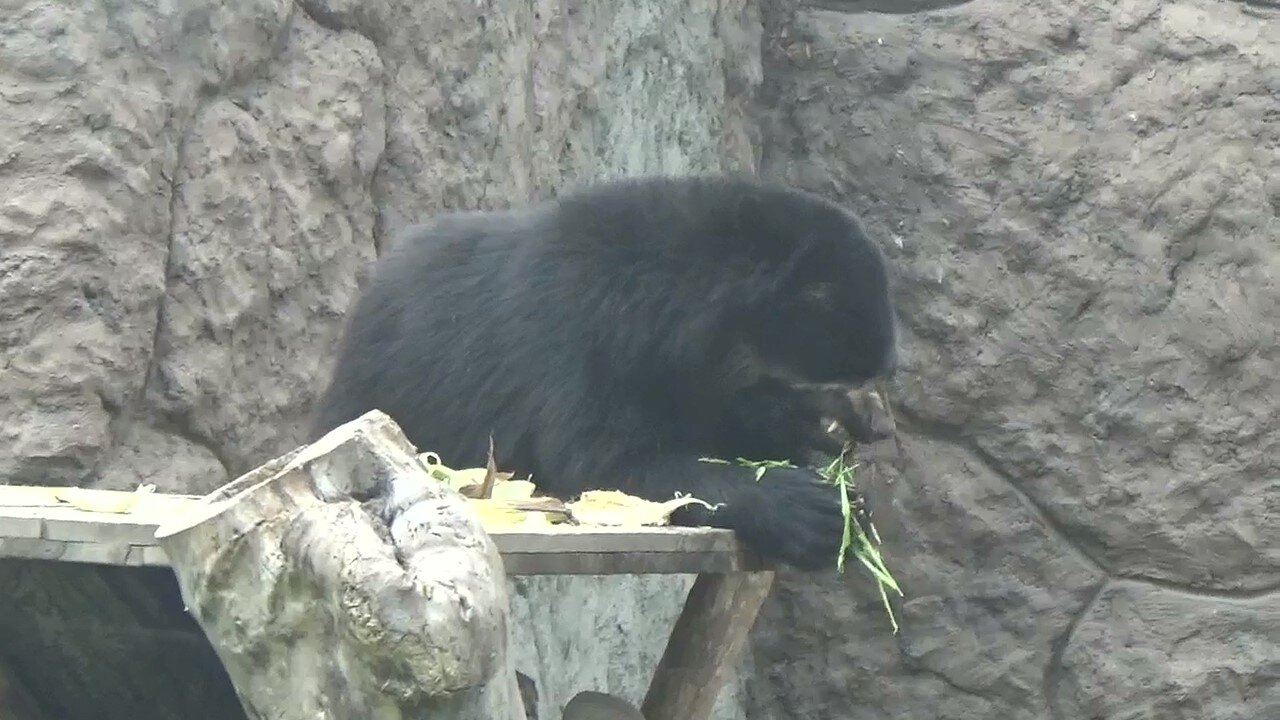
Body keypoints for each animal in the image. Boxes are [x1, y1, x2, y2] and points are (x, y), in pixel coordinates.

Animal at [309, 174, 896, 566]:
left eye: (881, 374)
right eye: (846, 380)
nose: (883, 428)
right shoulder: (571, 339)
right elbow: (602, 461)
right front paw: (815, 510)